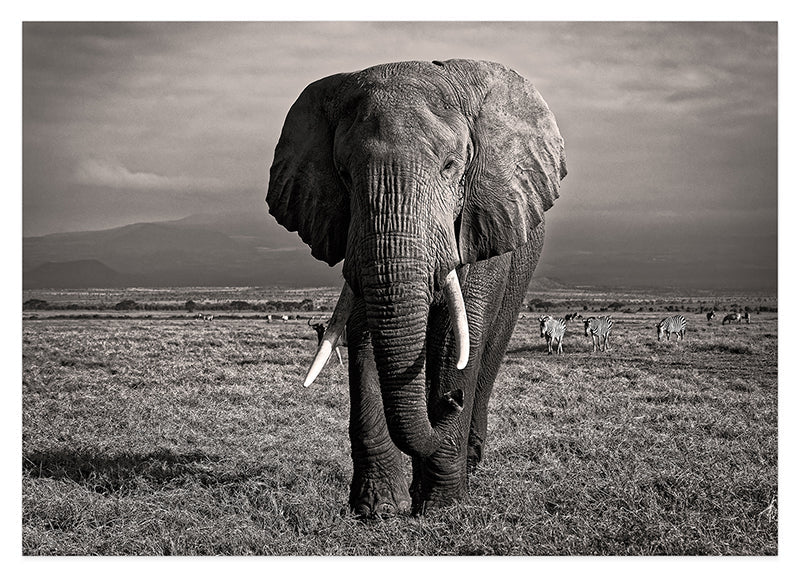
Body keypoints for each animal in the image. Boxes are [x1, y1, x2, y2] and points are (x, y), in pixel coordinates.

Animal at [266, 59, 566, 516]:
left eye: (450, 167)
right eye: (343, 175)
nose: (450, 401)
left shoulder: (480, 220)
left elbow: (458, 337)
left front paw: (442, 508)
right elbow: (366, 331)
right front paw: (376, 510)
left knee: (489, 349)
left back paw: (469, 461)